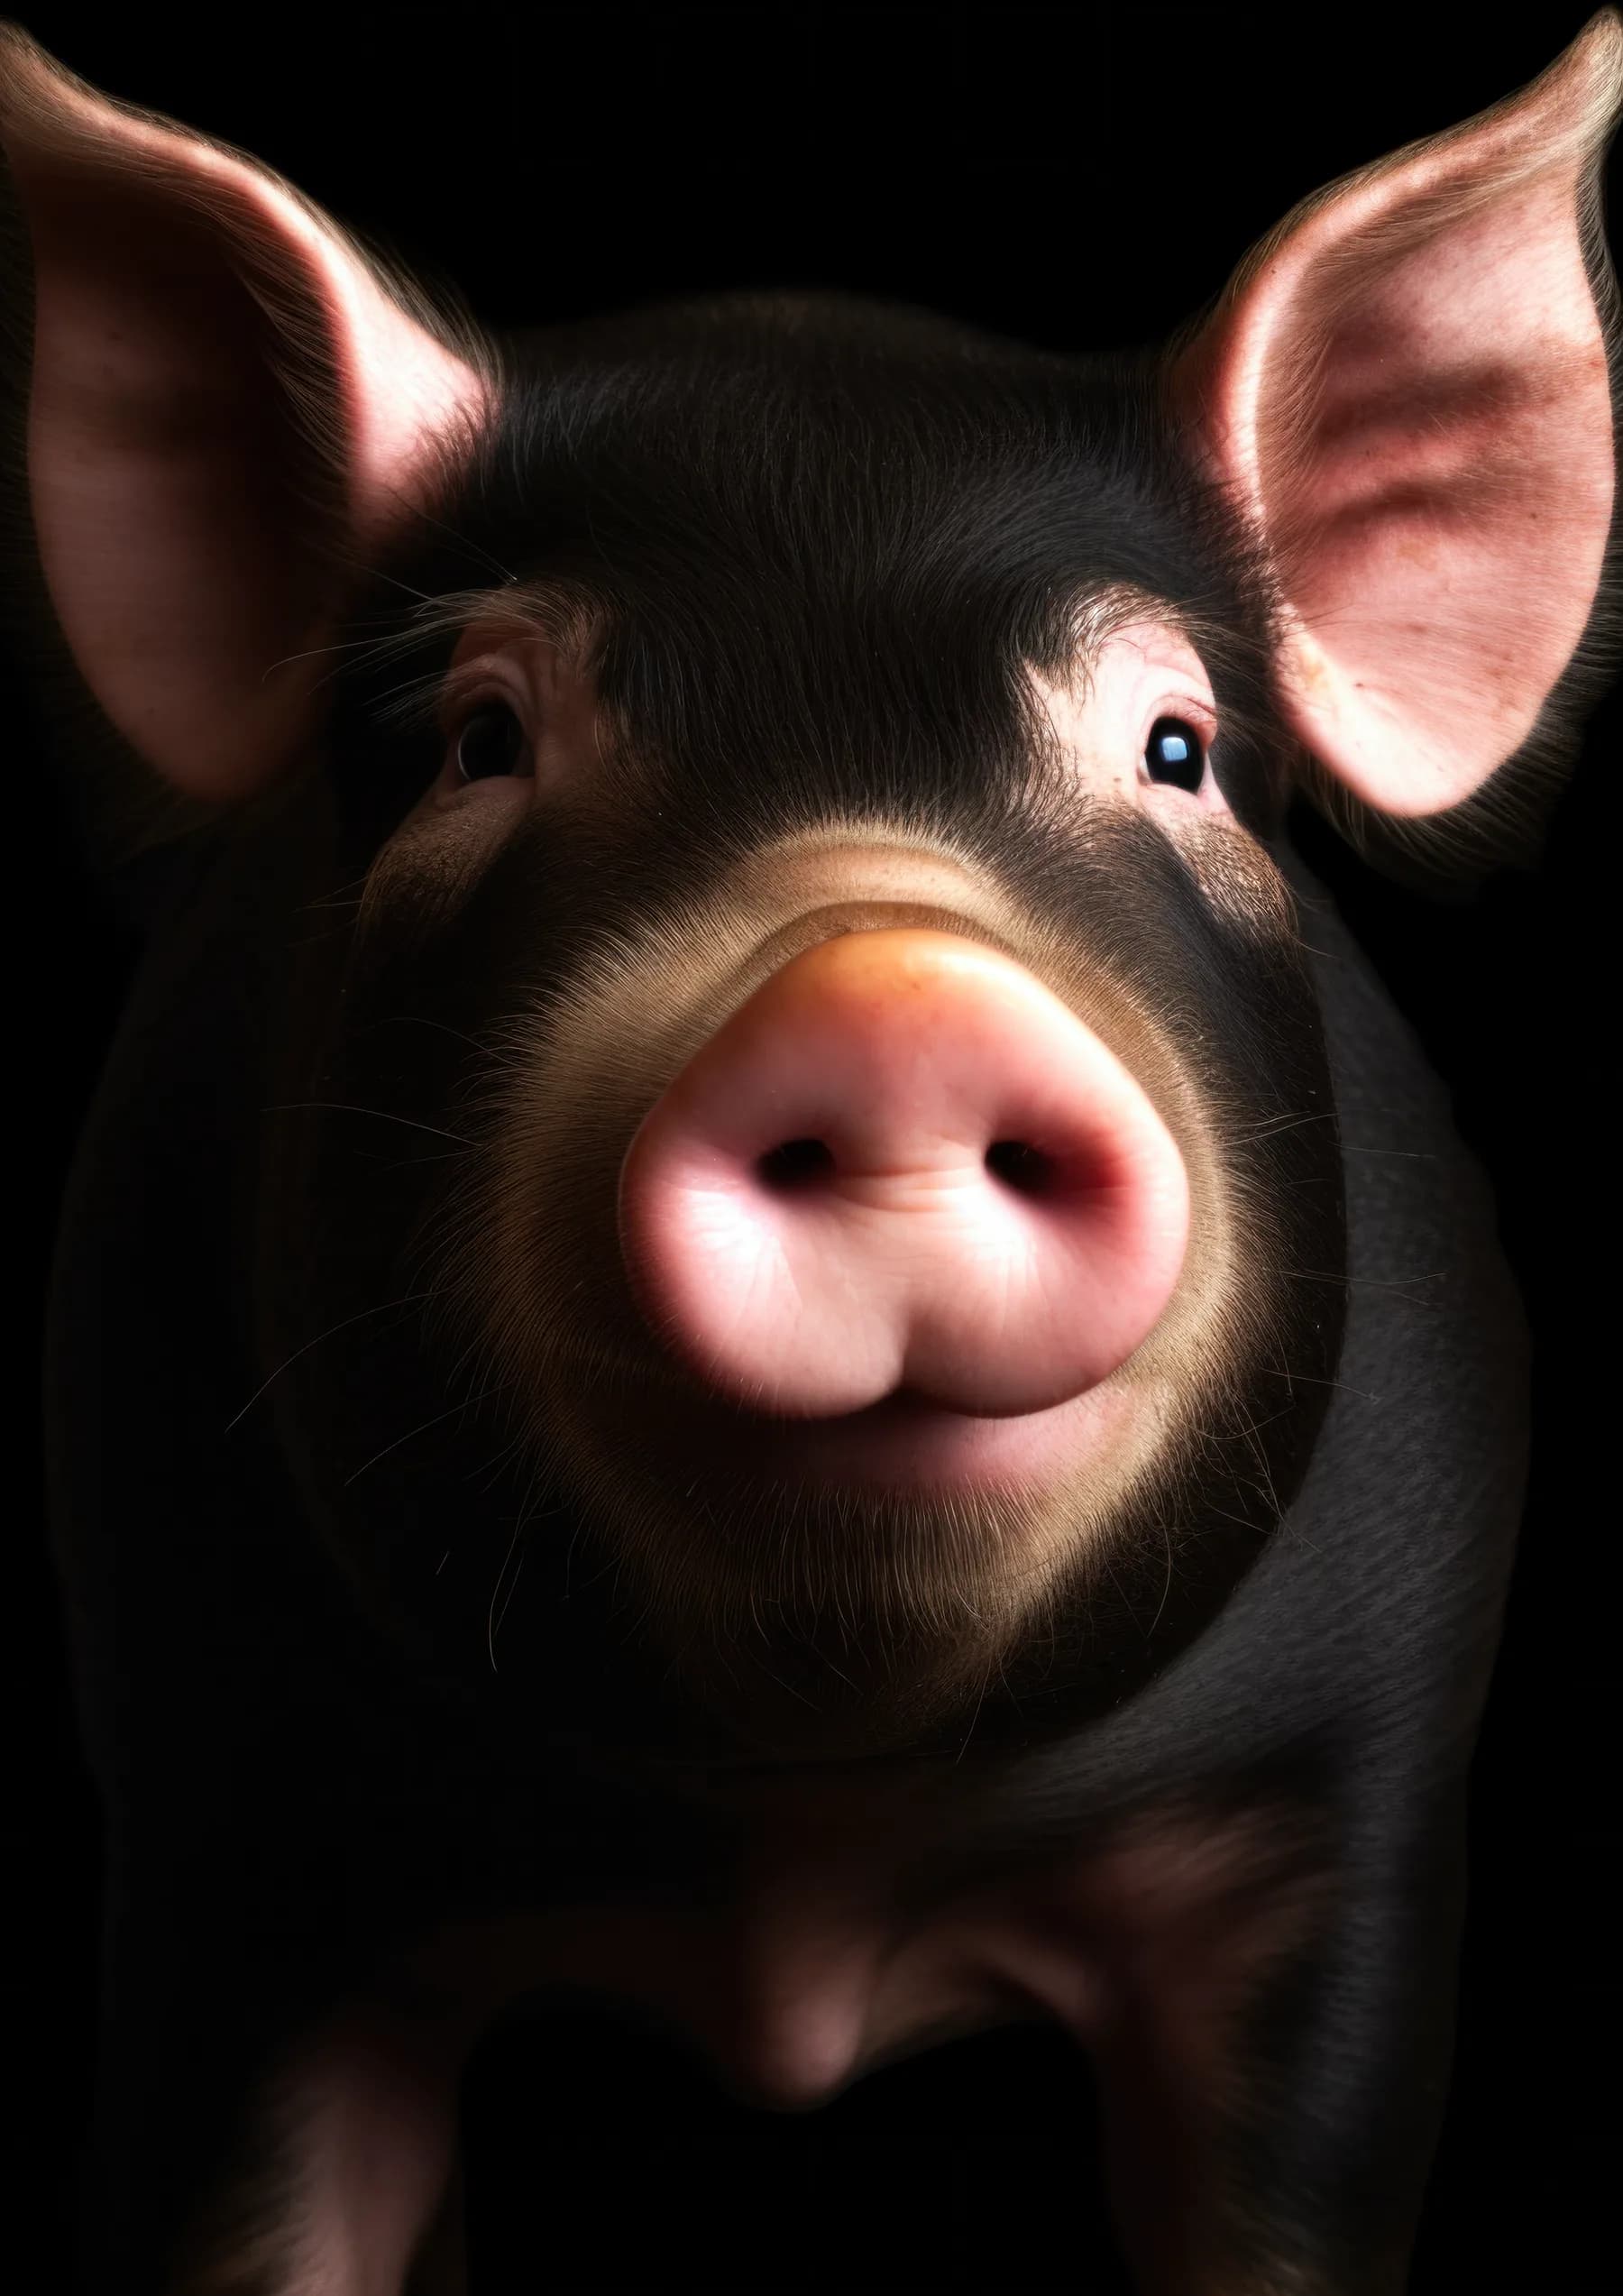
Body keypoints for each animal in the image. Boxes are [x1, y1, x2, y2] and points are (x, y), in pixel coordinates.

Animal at [6, 11, 1620, 2293]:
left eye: (1181, 747)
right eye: (486, 738)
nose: (890, 991)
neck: (811, 1861)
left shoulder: (1345, 1818)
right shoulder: (226, 1816)